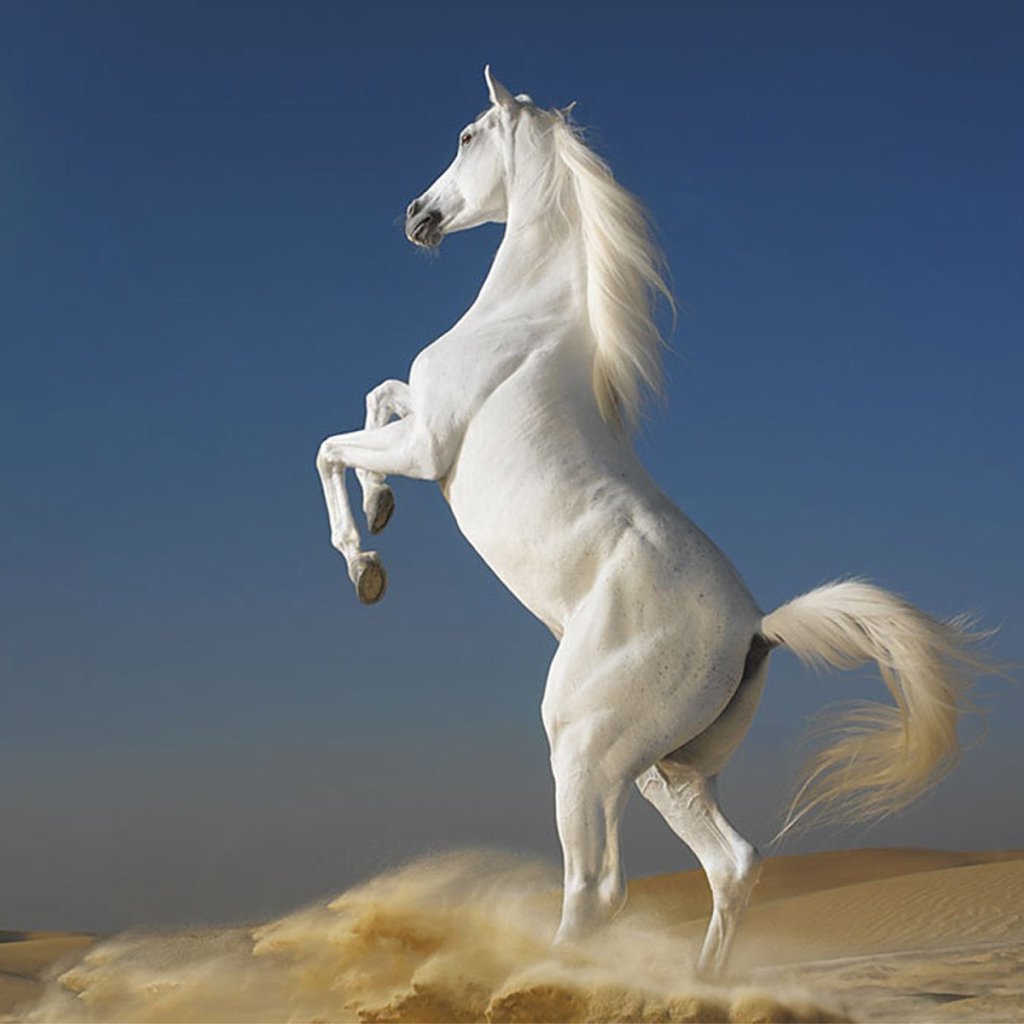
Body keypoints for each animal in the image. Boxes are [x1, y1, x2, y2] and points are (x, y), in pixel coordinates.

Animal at [315, 67, 988, 974]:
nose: (419, 215)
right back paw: (698, 986)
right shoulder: (417, 423)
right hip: (663, 769)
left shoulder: (429, 446)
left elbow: (333, 444)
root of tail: (757, 629)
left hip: (583, 749)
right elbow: (378, 394)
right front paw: (382, 512)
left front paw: (366, 564)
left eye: (466, 135)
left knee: (599, 889)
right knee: (731, 865)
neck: (524, 320)